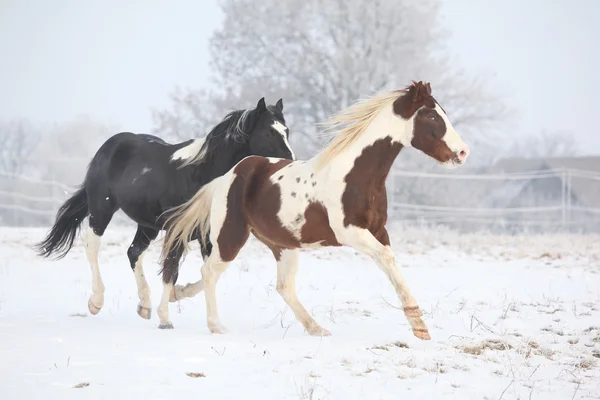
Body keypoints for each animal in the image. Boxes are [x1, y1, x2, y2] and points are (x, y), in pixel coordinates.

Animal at [34, 98, 296, 324]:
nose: (291, 162)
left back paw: (144, 305)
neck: (201, 174)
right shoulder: (177, 232)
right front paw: (165, 318)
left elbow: (206, 272)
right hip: (102, 209)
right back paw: (96, 301)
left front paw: (177, 295)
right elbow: (171, 270)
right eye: (268, 132)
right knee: (92, 245)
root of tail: (110, 145)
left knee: (133, 252)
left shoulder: (206, 236)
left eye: (286, 130)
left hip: (147, 225)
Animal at [158, 79, 468, 340]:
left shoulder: (379, 231)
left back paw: (316, 328)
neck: (356, 174)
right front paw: (419, 325)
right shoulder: (351, 233)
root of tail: (228, 175)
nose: (462, 153)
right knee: (210, 271)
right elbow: (386, 259)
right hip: (230, 236)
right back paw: (215, 325)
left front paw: (419, 326)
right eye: (431, 116)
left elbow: (391, 263)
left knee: (282, 286)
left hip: (283, 244)